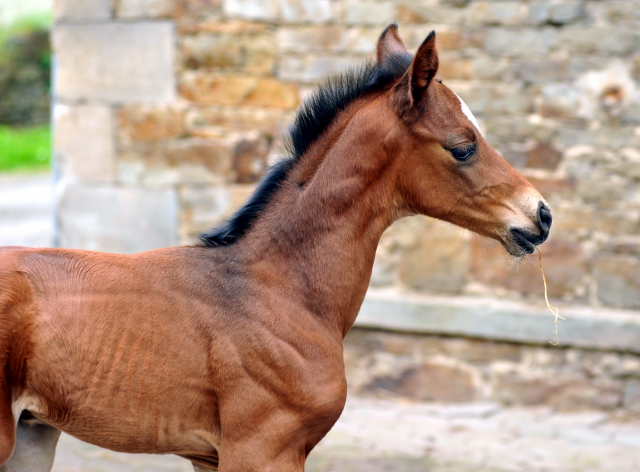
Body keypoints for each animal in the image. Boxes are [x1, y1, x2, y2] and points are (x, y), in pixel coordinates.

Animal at [0, 24, 552, 470]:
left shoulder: (213, 456)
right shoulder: (262, 448)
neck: (279, 288)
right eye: (463, 146)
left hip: (33, 434)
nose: (541, 215)